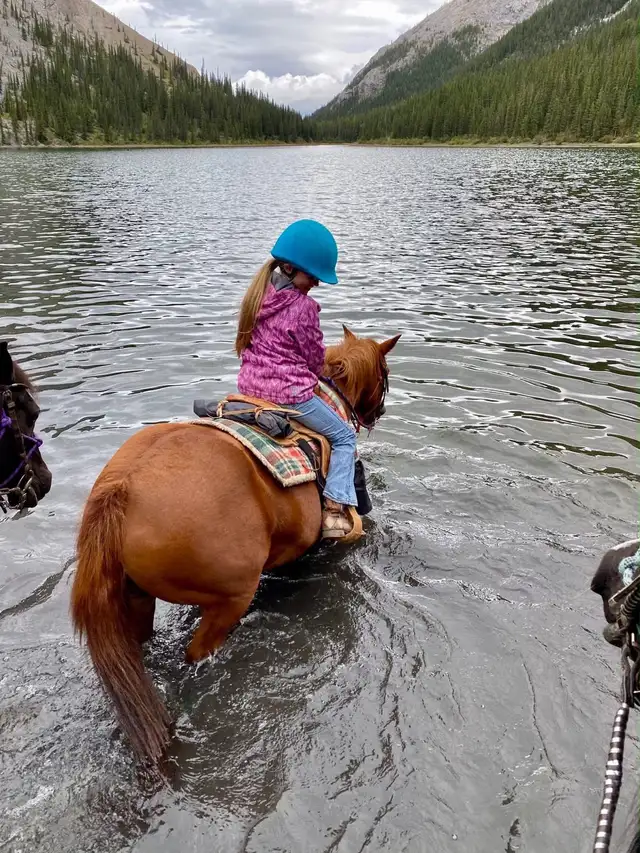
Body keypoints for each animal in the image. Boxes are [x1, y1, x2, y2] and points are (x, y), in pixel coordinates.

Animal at [70, 327, 400, 771]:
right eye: (384, 375)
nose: (376, 413)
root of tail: (121, 489)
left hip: (135, 598)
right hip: (231, 599)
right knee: (197, 652)